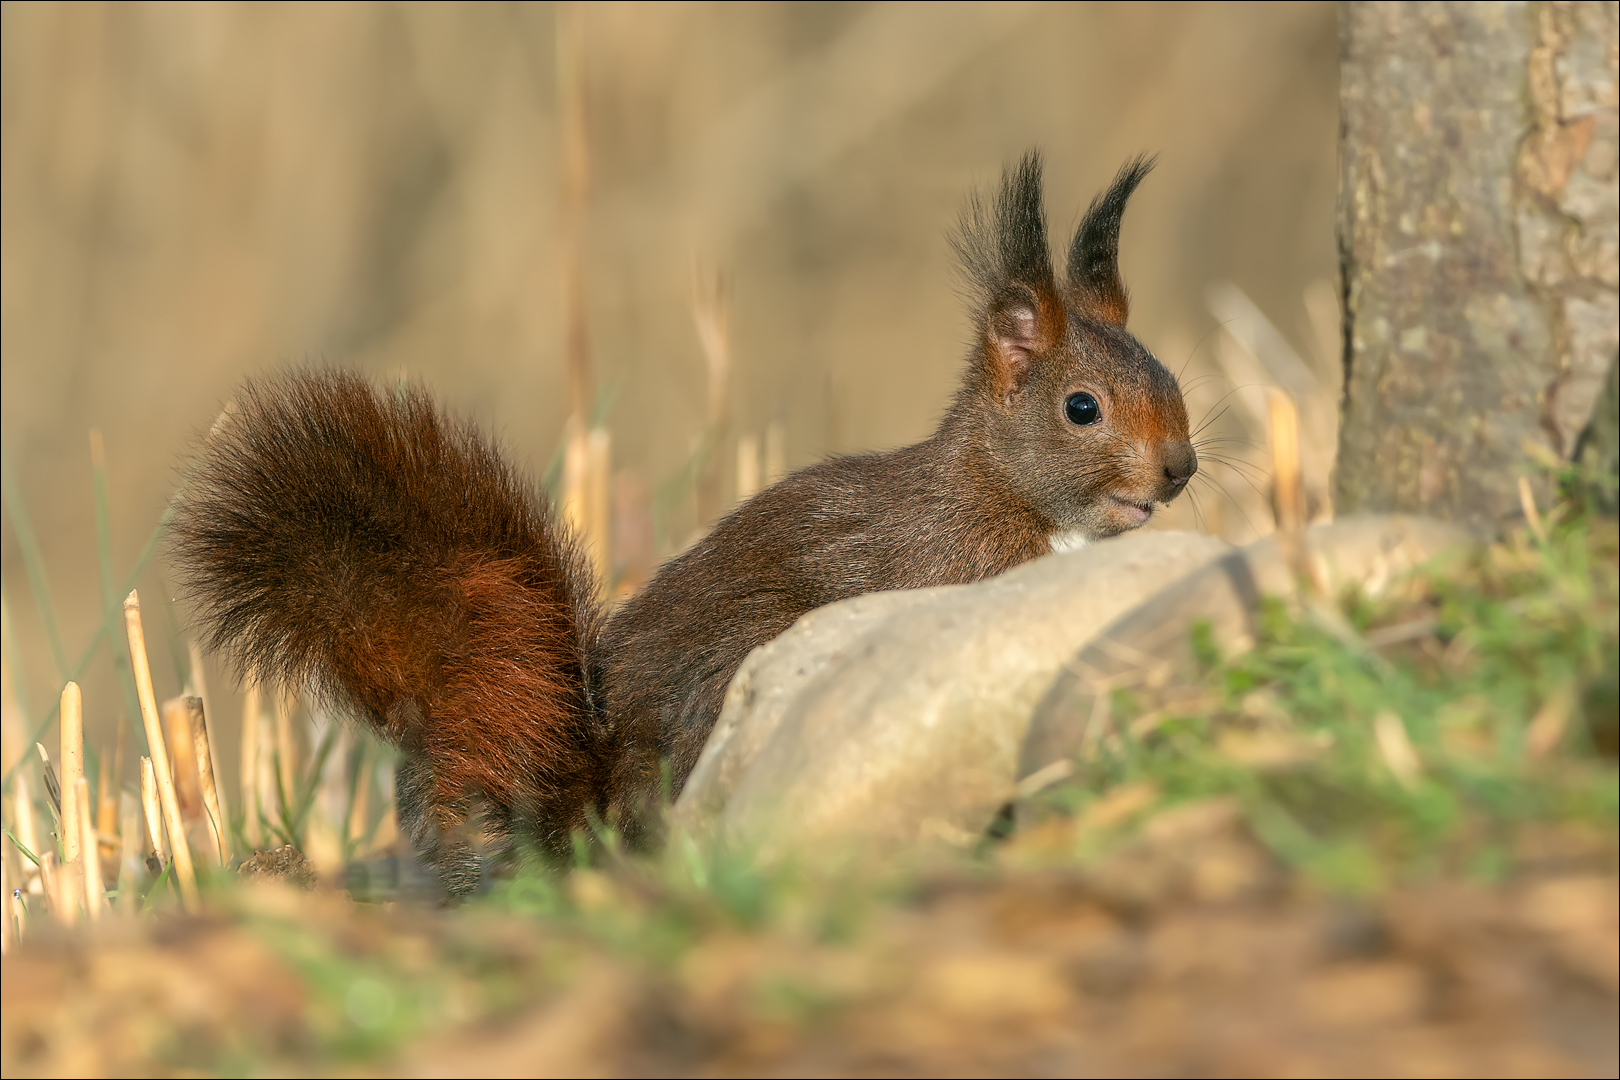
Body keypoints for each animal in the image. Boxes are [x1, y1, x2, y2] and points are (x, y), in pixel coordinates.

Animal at [170, 152, 1198, 893]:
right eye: (1081, 408)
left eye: (1172, 378)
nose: (1180, 470)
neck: (1005, 493)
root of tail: (591, 794)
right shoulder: (951, 565)